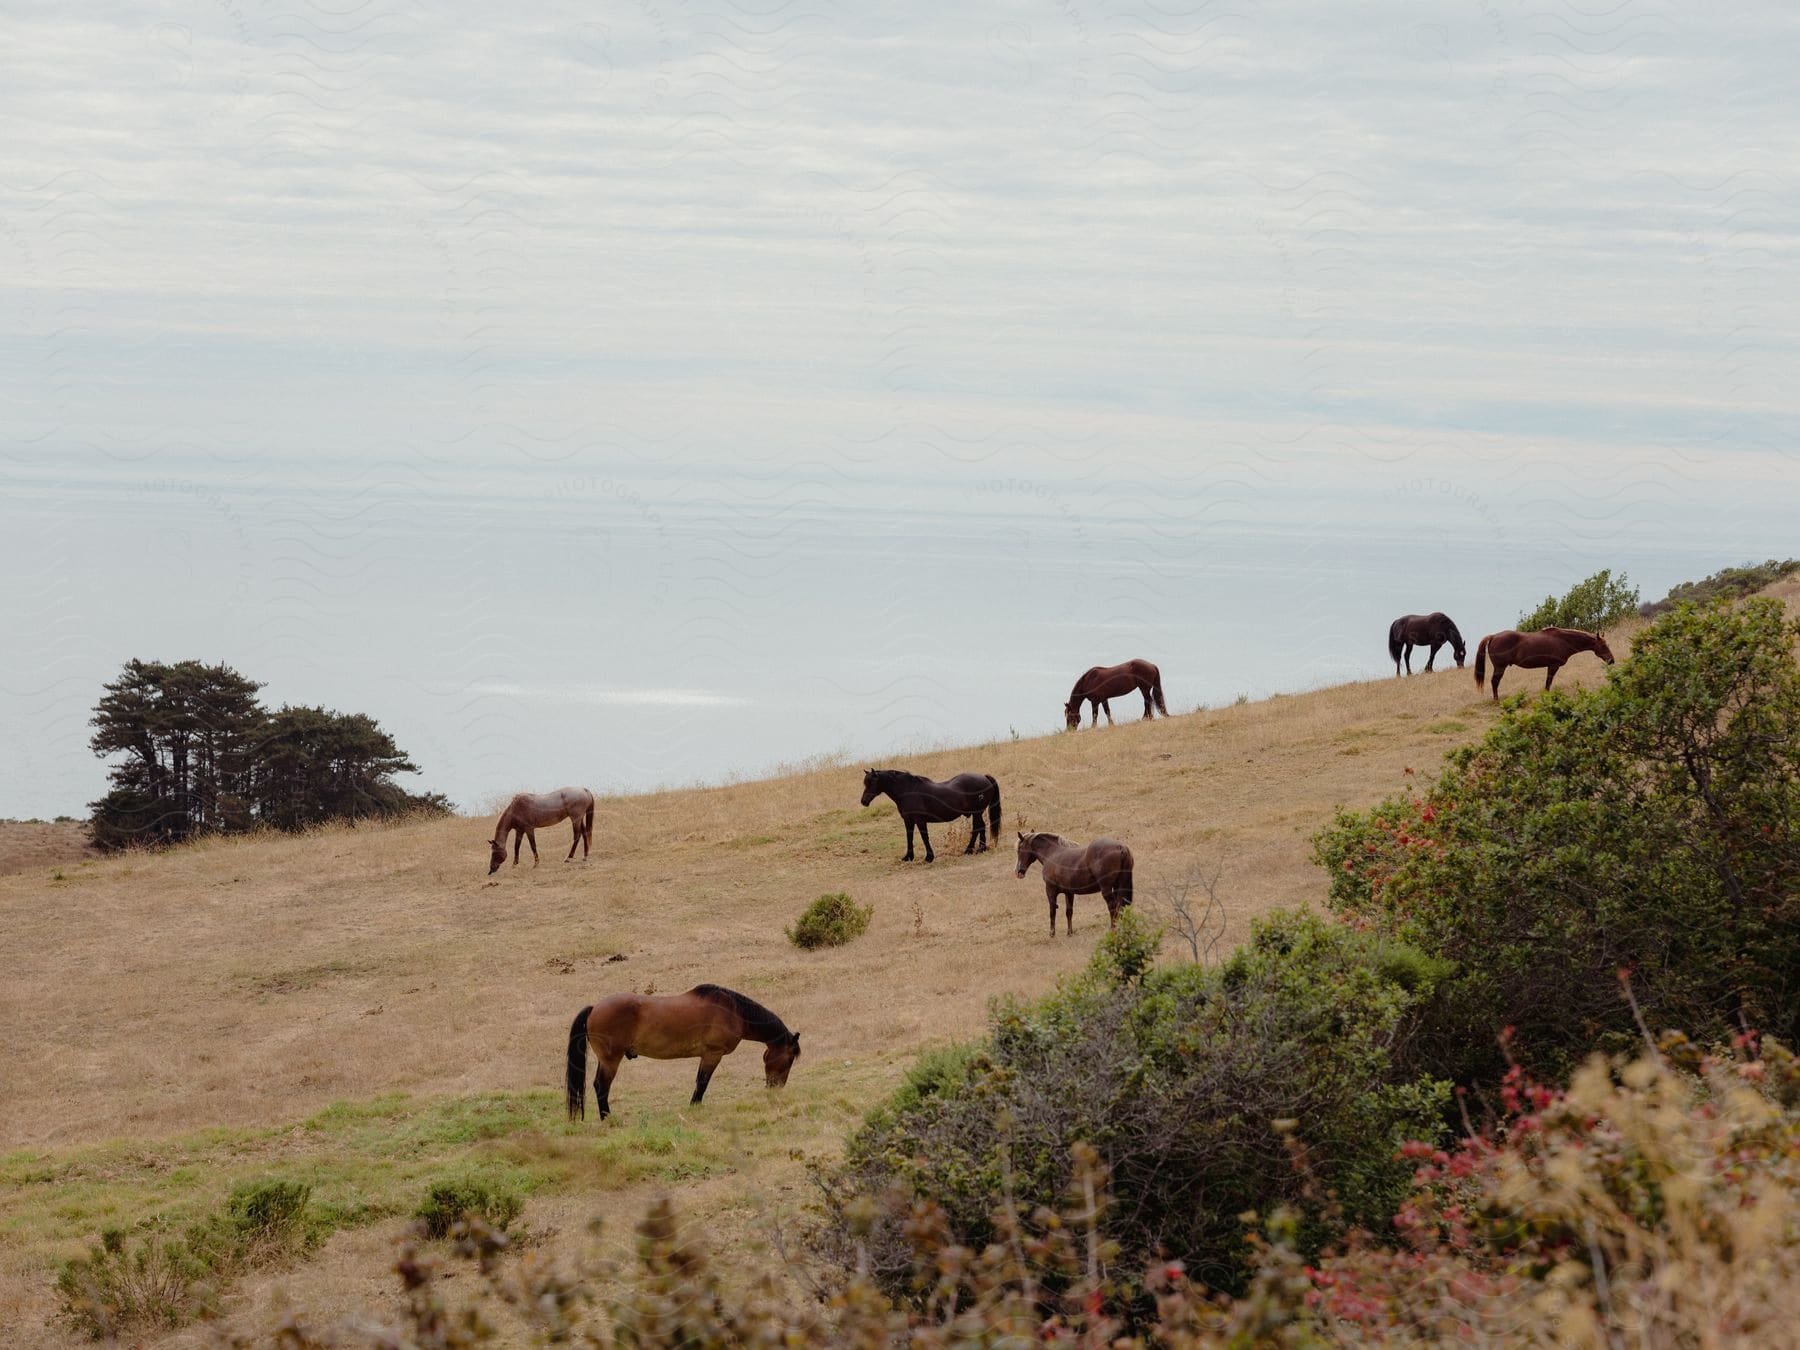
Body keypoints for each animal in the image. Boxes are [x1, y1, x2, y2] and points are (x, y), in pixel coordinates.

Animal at [561, 986, 802, 1123]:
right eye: (790, 1059)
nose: (776, 1088)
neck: (733, 1011)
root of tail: (595, 1008)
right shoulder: (712, 1055)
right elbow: (702, 1082)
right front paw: (695, 1106)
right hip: (611, 1060)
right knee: (601, 1086)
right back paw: (607, 1118)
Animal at [856, 770, 1000, 867]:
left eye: (873, 782)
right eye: (865, 782)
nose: (864, 801)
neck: (908, 791)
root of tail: (984, 777)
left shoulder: (920, 821)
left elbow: (924, 837)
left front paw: (929, 857)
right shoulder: (908, 820)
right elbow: (909, 837)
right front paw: (908, 857)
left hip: (977, 813)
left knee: (978, 827)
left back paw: (973, 849)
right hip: (977, 813)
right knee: (980, 827)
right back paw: (978, 849)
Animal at [1476, 630, 1620, 702]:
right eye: (1603, 645)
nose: (1611, 660)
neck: (1563, 640)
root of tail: (1493, 636)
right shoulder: (1553, 666)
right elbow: (1548, 682)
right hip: (1500, 667)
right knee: (1494, 682)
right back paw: (1496, 700)